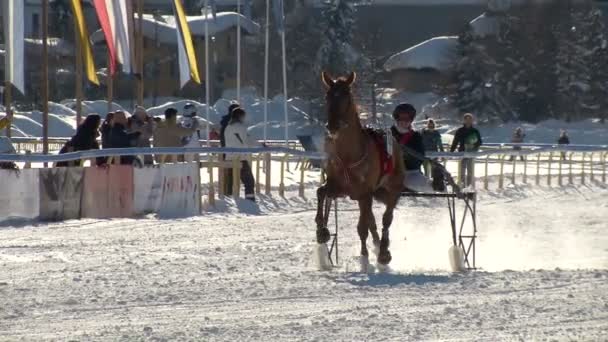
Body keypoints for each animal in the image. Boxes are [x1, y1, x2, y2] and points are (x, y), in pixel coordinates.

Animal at [316, 71, 406, 266]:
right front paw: (322, 230)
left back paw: (383, 251)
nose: (332, 126)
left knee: (386, 219)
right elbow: (321, 192)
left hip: (393, 187)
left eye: (347, 96)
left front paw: (365, 255)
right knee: (372, 220)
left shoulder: (365, 193)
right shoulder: (339, 187)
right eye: (327, 96)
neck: (349, 155)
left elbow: (363, 226)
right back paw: (377, 245)